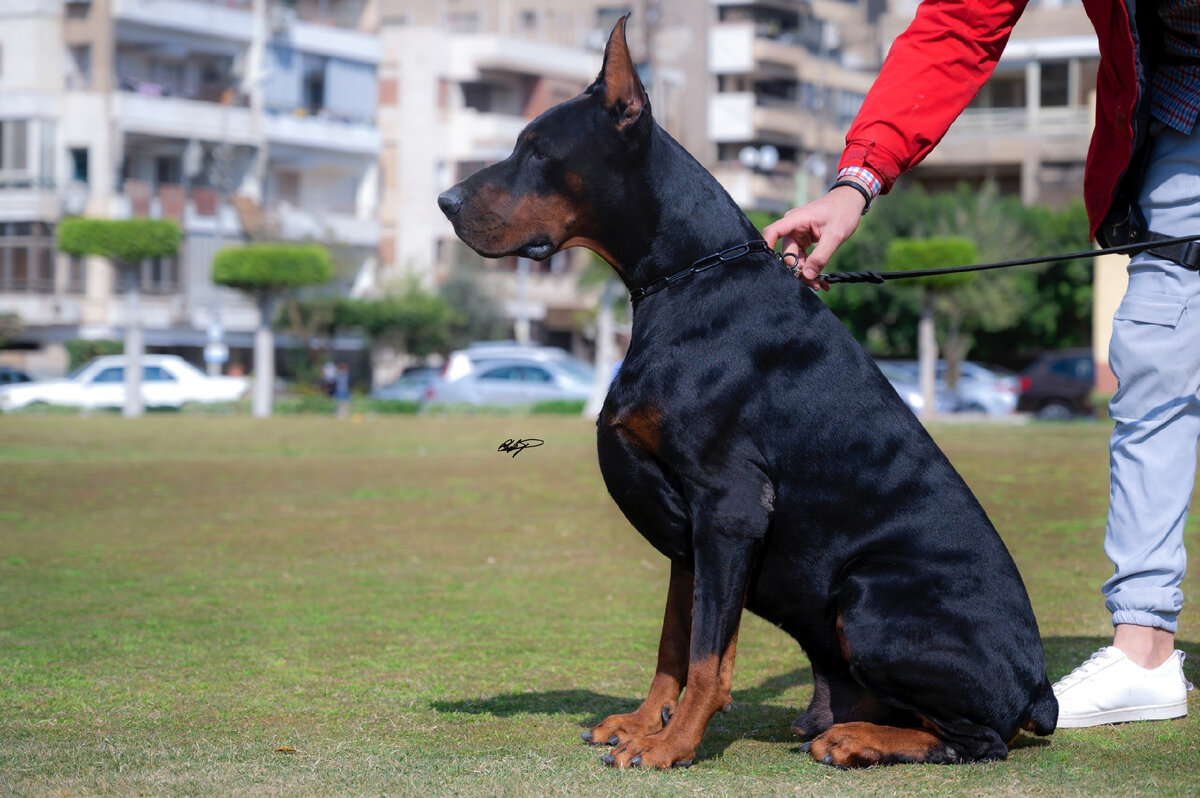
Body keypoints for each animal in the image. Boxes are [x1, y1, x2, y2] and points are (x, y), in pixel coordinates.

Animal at [436, 15, 1056, 768]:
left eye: (536, 151)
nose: (445, 202)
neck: (689, 277)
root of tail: (1039, 687)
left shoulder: (729, 504)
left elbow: (708, 656)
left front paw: (672, 746)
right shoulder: (688, 529)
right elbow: (676, 641)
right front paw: (643, 723)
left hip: (869, 591)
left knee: (977, 739)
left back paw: (856, 739)